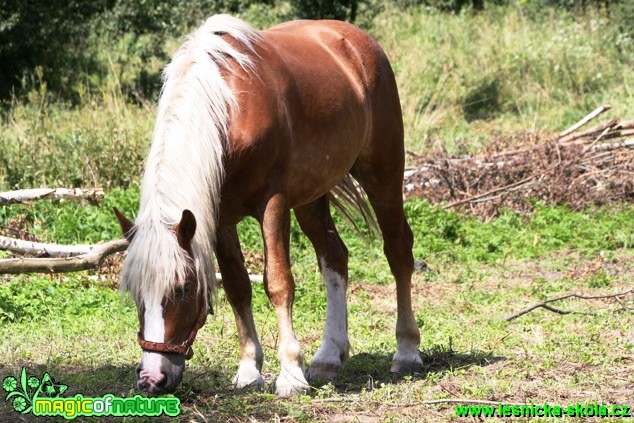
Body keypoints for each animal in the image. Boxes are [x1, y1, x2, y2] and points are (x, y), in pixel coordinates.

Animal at [115, 14, 420, 398]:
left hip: (382, 173)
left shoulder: (273, 204)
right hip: (311, 195)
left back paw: (407, 352)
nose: (152, 378)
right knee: (334, 257)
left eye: (182, 288)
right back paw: (328, 357)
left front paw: (291, 374)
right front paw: (249, 370)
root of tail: (358, 42)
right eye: (136, 293)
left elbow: (278, 283)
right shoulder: (218, 217)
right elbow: (236, 286)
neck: (229, 107)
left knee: (398, 251)